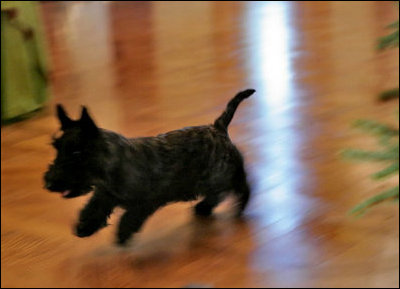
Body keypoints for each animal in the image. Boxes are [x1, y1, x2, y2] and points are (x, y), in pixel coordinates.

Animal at [43, 89, 255, 244]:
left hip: (222, 173)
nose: (49, 183)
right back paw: (203, 208)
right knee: (216, 194)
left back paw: (239, 206)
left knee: (241, 185)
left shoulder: (149, 198)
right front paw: (84, 227)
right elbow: (93, 209)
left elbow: (132, 215)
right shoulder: (104, 194)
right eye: (56, 147)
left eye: (76, 153)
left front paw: (123, 232)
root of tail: (218, 127)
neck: (114, 162)